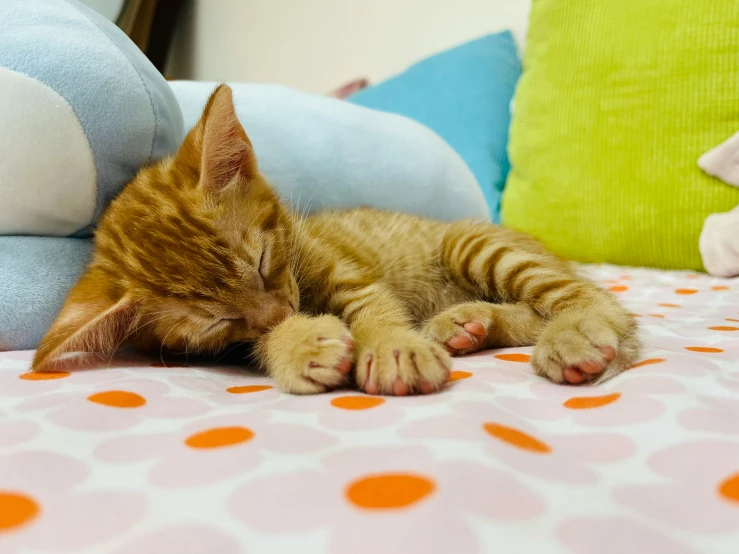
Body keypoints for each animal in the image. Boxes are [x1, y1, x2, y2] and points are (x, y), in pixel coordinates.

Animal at [30, 83, 640, 392]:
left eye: (263, 261)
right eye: (219, 322)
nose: (284, 313)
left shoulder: (342, 267)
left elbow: (374, 307)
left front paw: (392, 347)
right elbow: (258, 342)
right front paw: (297, 343)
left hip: (472, 244)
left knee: (594, 303)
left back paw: (574, 335)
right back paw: (466, 324)